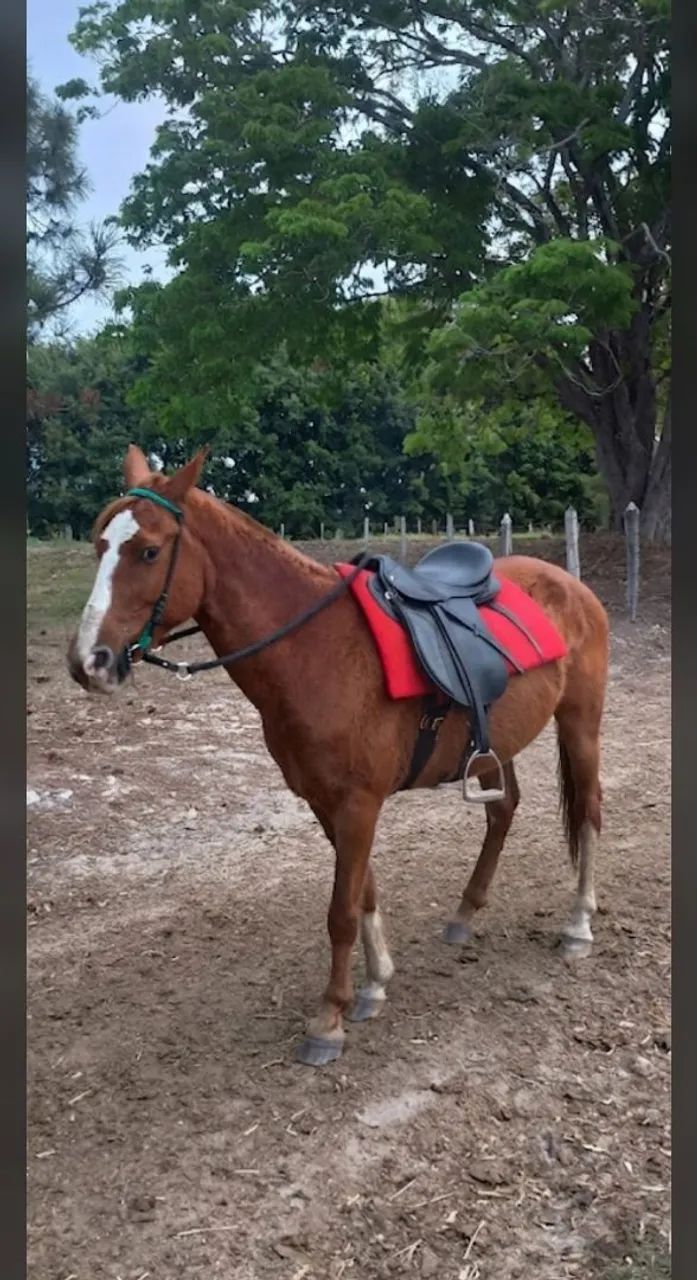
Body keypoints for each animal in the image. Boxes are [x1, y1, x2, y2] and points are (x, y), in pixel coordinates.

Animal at [67, 446, 609, 1067]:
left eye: (149, 551)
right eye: (99, 545)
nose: (88, 661)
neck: (315, 649)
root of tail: (571, 585)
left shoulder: (357, 804)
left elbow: (340, 911)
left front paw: (329, 1019)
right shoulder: (326, 804)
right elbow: (363, 892)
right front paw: (374, 984)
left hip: (581, 723)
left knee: (588, 812)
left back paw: (578, 925)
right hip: (496, 741)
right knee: (503, 811)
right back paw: (465, 914)